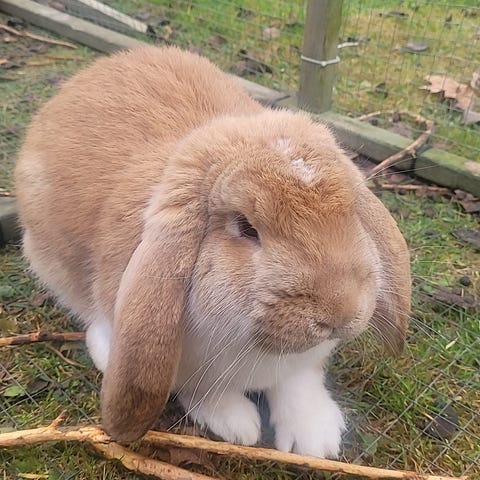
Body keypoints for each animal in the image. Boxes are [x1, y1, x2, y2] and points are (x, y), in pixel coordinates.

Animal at [15, 46, 411, 458]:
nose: (341, 312)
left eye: (351, 213)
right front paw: (237, 424)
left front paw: (317, 438)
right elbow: (199, 388)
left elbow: (299, 382)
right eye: (246, 228)